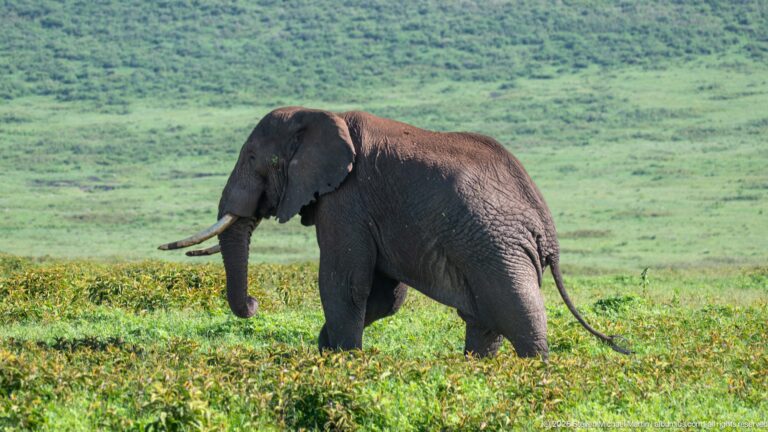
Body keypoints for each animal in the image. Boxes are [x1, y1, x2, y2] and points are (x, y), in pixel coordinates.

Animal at [160, 107, 630, 359]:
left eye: (258, 160)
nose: (256, 305)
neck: (323, 115)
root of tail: (547, 227)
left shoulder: (347, 199)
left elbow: (344, 283)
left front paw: (341, 359)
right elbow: (386, 297)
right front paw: (327, 350)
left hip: (498, 246)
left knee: (520, 317)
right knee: (485, 321)